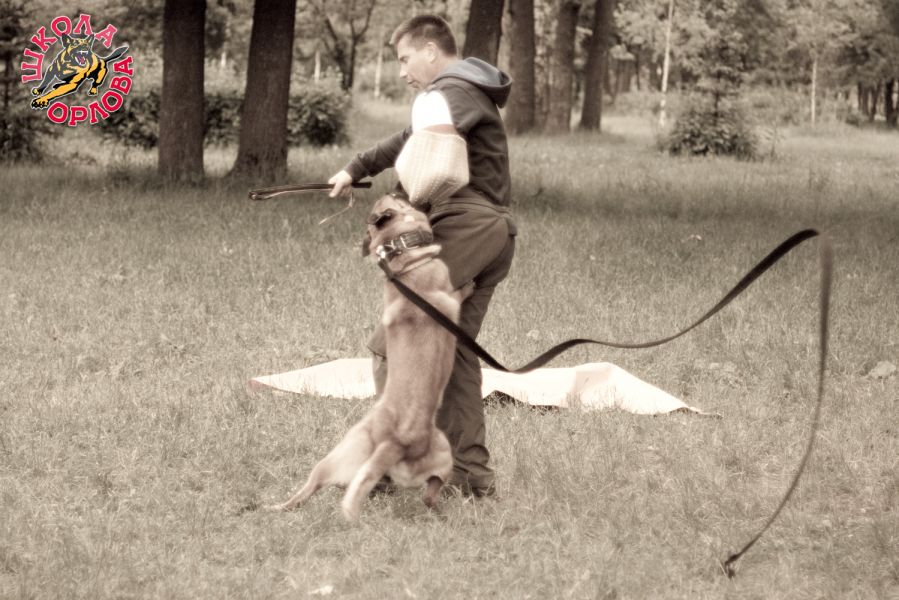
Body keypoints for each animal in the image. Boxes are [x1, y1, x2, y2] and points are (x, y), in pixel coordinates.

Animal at [266, 194, 473, 520]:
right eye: (398, 198)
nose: (401, 191)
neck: (405, 259)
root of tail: (402, 441)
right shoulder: (449, 294)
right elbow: (460, 292)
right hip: (357, 454)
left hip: (406, 459)